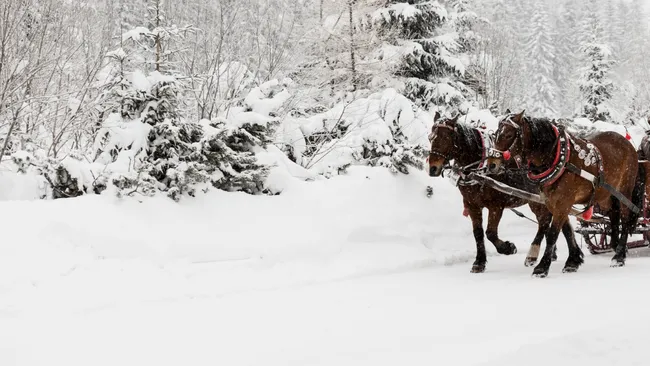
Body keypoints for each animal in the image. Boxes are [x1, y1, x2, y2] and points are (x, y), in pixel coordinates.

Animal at [430, 113, 572, 274]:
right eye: (430, 137)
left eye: (445, 137)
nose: (433, 168)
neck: (481, 168)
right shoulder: (472, 204)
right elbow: (478, 233)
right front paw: (479, 262)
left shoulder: (496, 206)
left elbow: (490, 233)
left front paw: (507, 247)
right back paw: (553, 254)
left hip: (539, 201)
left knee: (544, 222)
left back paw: (534, 255)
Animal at [486, 111, 644, 278]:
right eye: (496, 134)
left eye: (509, 135)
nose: (492, 164)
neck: (558, 159)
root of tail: (628, 145)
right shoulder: (552, 202)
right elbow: (567, 231)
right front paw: (573, 261)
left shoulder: (563, 202)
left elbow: (553, 234)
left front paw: (542, 267)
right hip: (605, 193)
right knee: (614, 214)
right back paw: (616, 246)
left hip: (625, 190)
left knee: (625, 219)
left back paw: (619, 256)